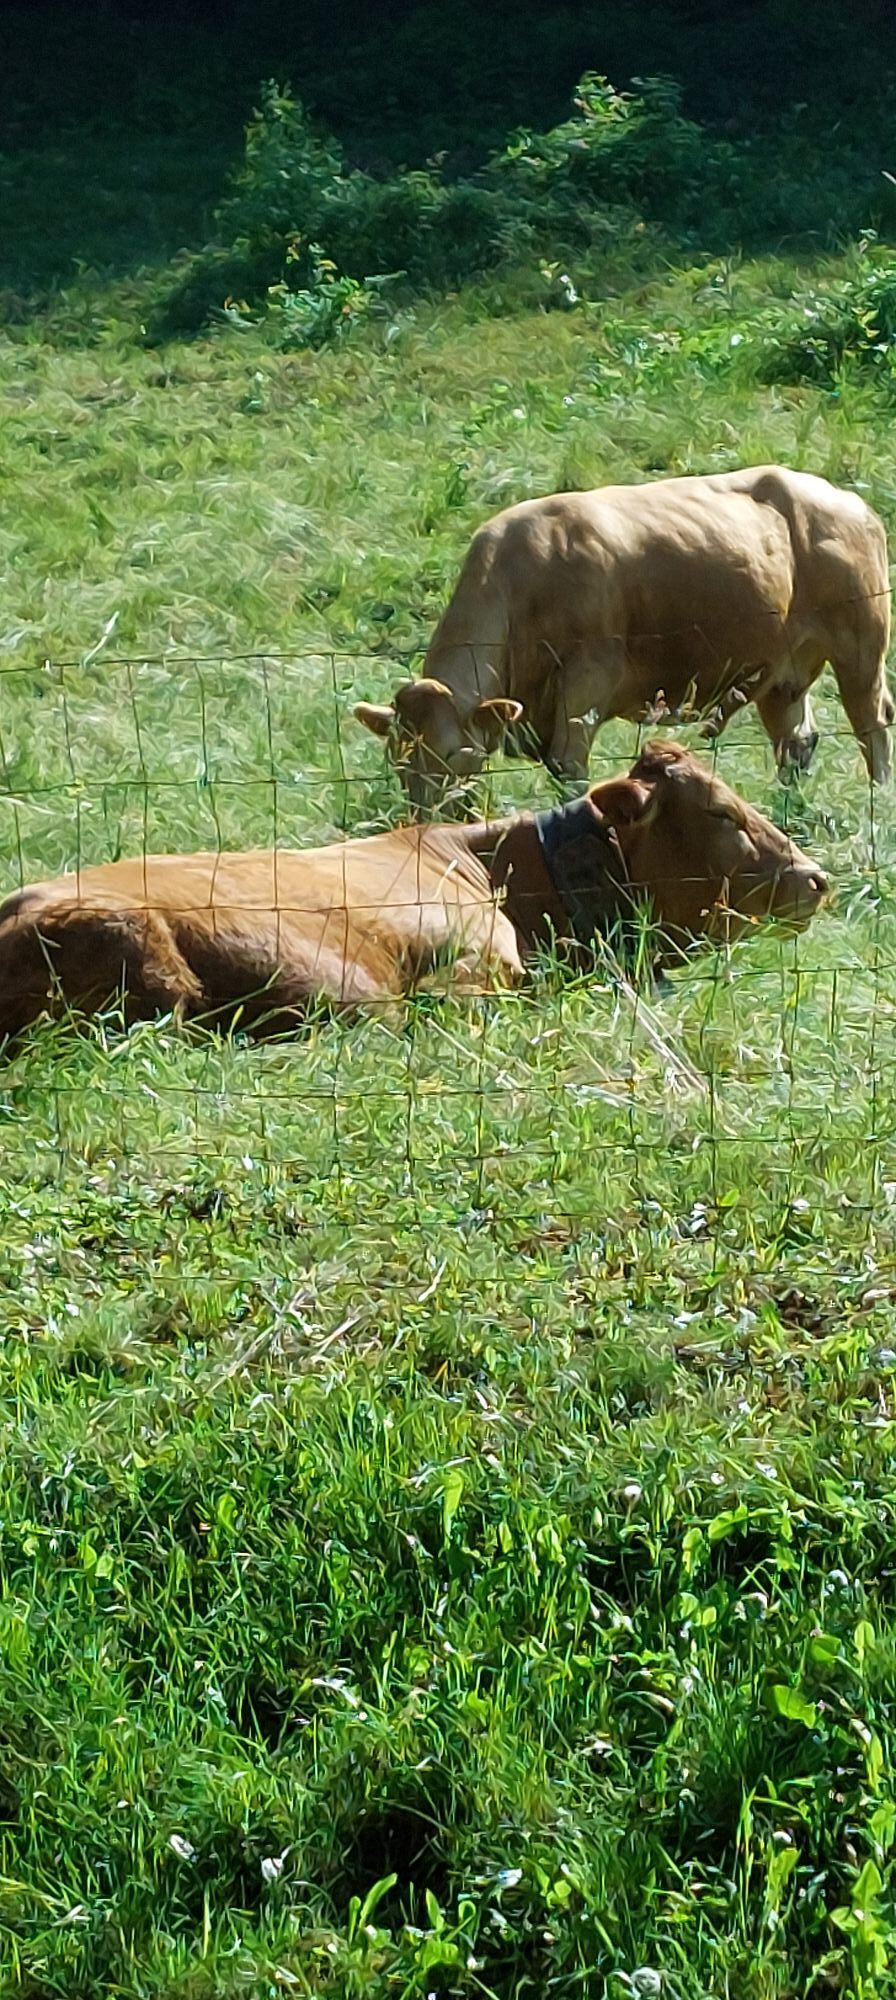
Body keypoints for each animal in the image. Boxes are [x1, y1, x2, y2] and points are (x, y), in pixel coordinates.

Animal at [354, 465, 893, 808]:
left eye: (453, 755)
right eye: (398, 760)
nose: (424, 820)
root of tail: (847, 501)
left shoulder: (585, 683)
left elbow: (568, 768)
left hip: (861, 648)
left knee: (873, 724)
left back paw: (879, 798)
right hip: (784, 672)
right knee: (797, 740)